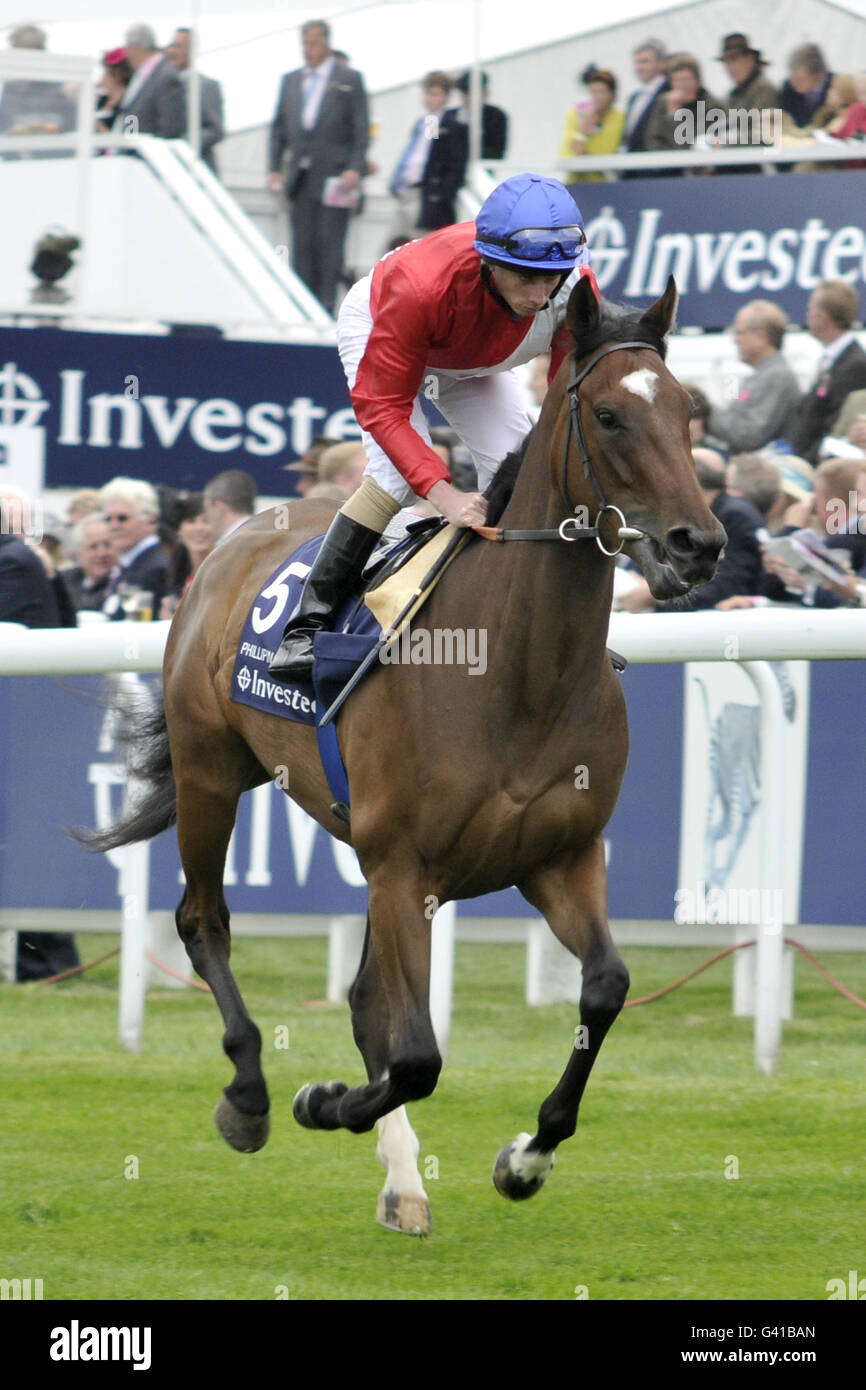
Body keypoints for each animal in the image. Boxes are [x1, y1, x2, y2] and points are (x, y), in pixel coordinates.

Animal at [86, 276, 722, 1234]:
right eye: (610, 415)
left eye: (689, 412)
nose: (700, 542)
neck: (518, 671)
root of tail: (233, 535)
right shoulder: (403, 866)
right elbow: (416, 1054)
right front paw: (321, 1101)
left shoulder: (560, 857)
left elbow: (605, 987)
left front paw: (526, 1156)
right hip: (211, 771)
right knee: (204, 922)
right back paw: (252, 1096)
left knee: (361, 999)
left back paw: (402, 1181)